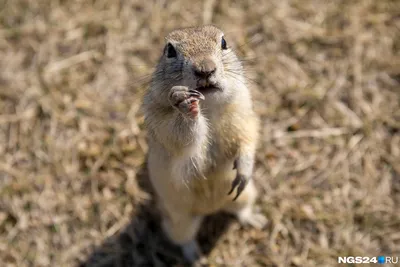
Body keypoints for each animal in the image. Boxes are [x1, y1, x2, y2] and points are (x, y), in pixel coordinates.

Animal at [141, 25, 266, 264]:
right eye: (169, 50)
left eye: (224, 42)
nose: (205, 69)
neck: (209, 108)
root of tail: (210, 210)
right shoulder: (162, 123)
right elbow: (180, 137)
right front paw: (184, 102)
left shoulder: (242, 110)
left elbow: (248, 137)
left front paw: (244, 170)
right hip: (180, 220)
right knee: (183, 238)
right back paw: (195, 257)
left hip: (247, 195)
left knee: (240, 209)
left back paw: (256, 220)